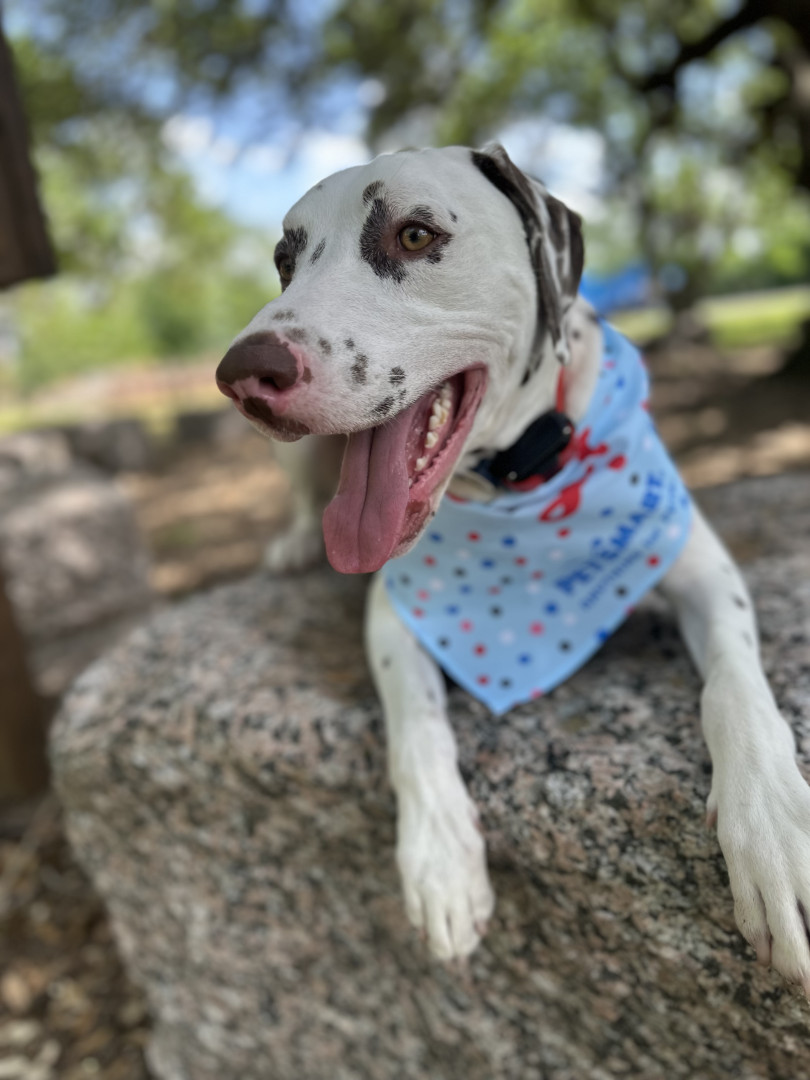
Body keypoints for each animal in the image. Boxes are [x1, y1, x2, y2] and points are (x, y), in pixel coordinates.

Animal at [216, 144, 810, 991]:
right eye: (283, 262)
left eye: (416, 234)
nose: (242, 372)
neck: (523, 478)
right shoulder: (394, 614)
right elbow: (415, 726)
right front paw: (440, 861)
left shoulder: (700, 566)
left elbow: (735, 687)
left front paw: (772, 831)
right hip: (292, 457)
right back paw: (295, 545)